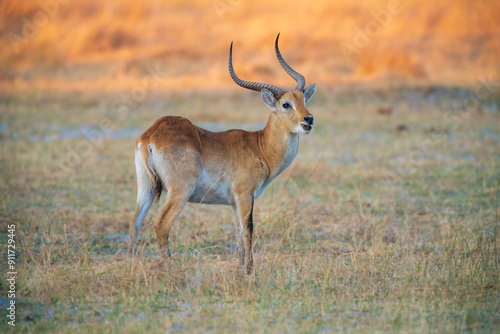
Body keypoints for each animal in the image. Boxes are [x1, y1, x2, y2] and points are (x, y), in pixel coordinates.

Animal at [129, 34, 316, 274]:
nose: (308, 120)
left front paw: (240, 270)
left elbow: (238, 234)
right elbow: (248, 230)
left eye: (304, 100)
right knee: (161, 224)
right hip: (180, 190)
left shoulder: (233, 202)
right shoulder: (245, 195)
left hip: (146, 187)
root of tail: (151, 134)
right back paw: (170, 269)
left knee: (134, 224)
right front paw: (250, 272)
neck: (260, 147)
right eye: (286, 104)